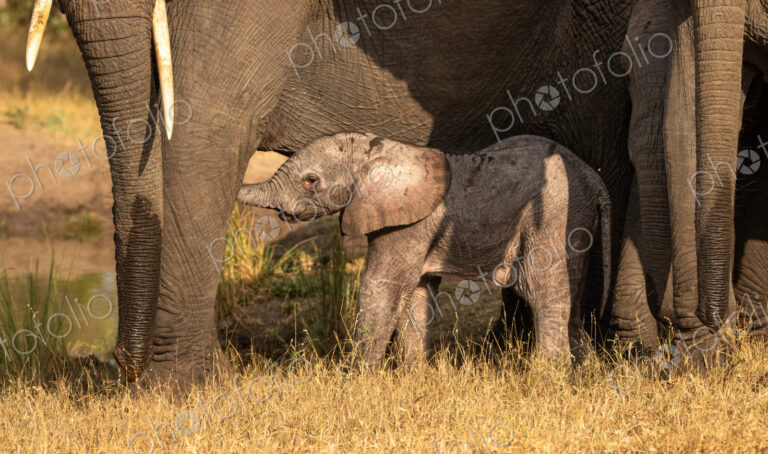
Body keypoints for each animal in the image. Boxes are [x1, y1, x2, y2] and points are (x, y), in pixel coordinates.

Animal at [237, 133, 613, 366]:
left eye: (310, 181)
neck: (376, 148)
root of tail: (595, 181)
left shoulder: (407, 226)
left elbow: (380, 288)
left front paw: (354, 382)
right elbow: (416, 294)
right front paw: (414, 376)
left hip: (554, 217)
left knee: (540, 291)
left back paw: (550, 377)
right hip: (574, 222)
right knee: (569, 299)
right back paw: (583, 373)